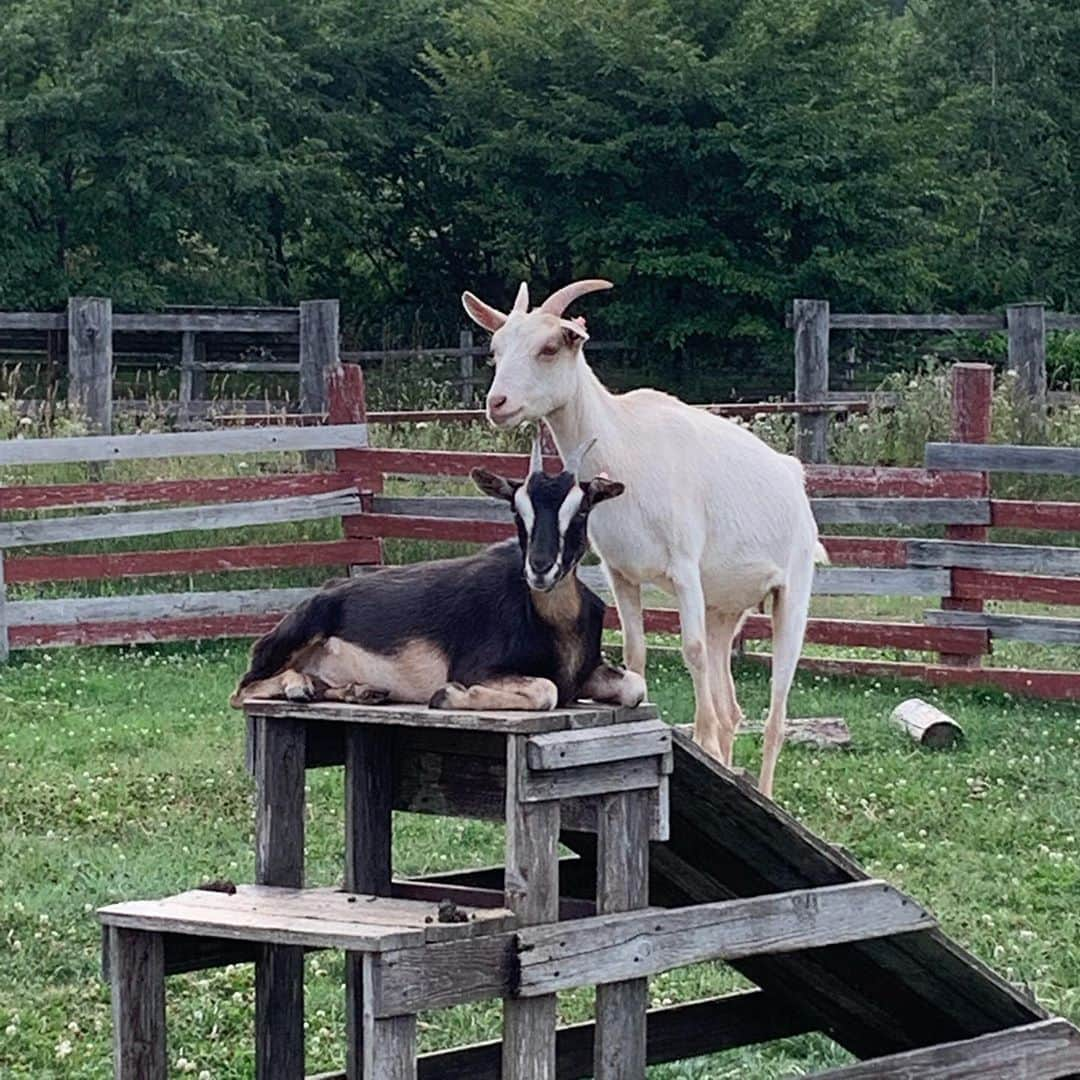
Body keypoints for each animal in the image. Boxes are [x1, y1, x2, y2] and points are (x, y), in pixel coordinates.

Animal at [460, 282, 820, 799]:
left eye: (549, 348)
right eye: (495, 350)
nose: (498, 403)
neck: (626, 446)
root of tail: (794, 478)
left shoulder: (685, 568)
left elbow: (691, 650)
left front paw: (701, 741)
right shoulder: (621, 573)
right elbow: (635, 651)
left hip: (792, 594)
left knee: (775, 711)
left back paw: (763, 789)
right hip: (724, 608)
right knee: (732, 704)